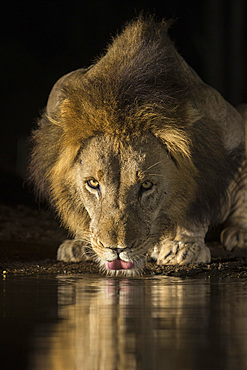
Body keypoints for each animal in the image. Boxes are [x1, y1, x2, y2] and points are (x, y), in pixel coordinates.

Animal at [29, 16, 247, 274]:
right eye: (93, 184)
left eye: (147, 185)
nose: (116, 249)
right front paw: (81, 243)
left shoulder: (223, 133)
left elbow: (196, 206)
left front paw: (182, 247)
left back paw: (238, 234)